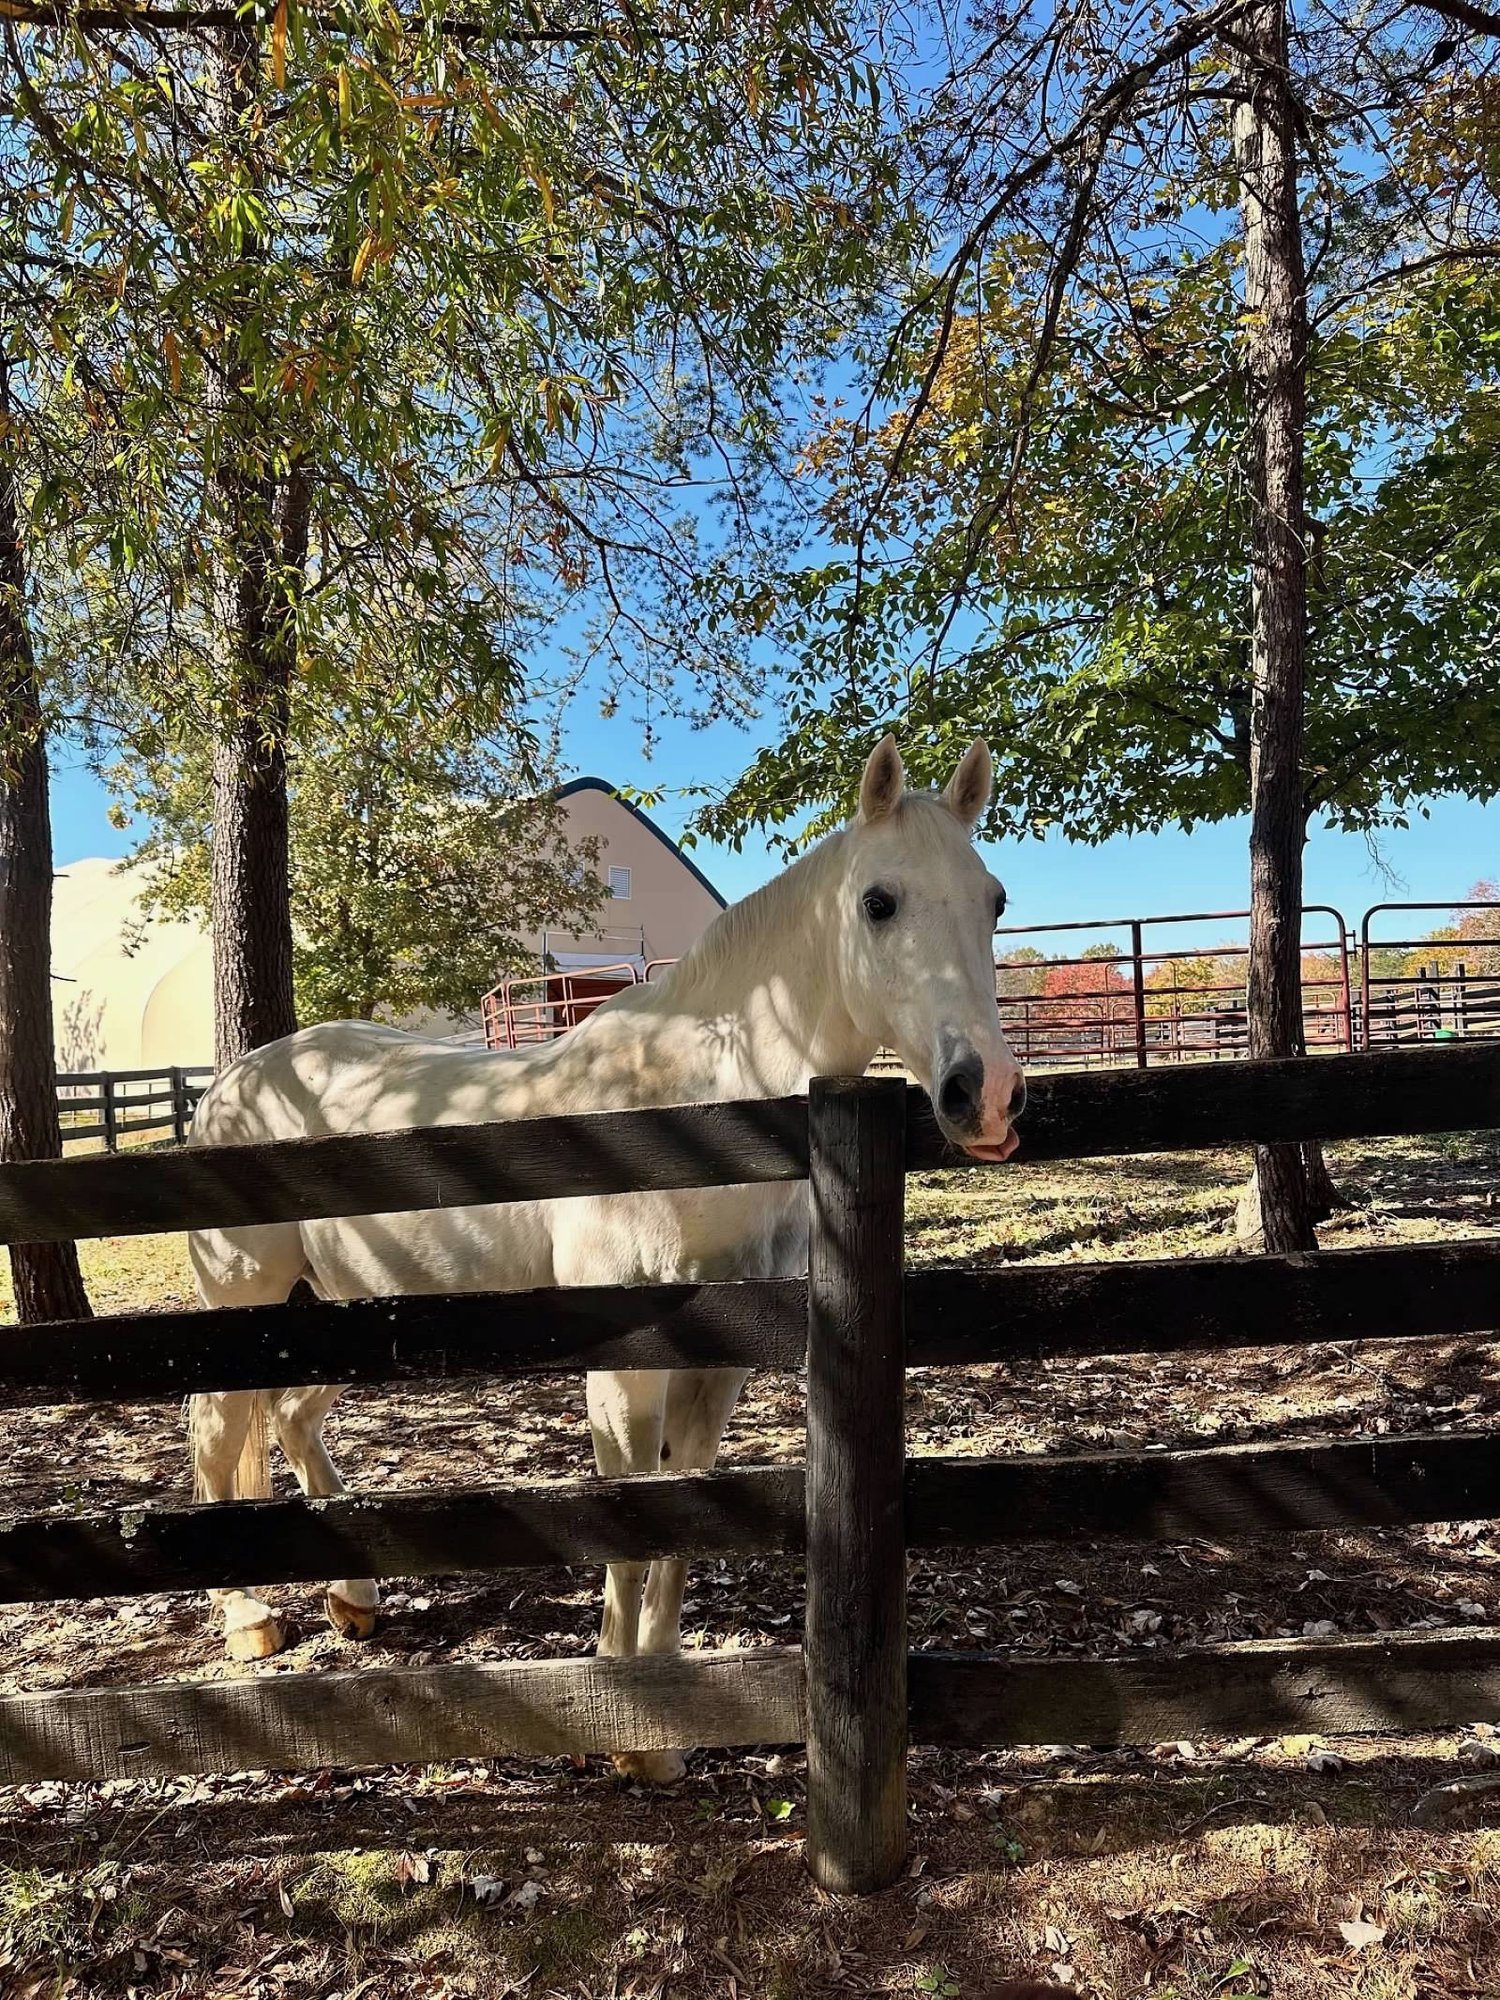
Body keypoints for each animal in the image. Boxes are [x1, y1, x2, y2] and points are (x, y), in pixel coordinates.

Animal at [186, 735, 1024, 1780]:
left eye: (994, 900)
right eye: (879, 901)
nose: (984, 1095)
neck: (692, 1115)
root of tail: (233, 1085)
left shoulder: (720, 1364)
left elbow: (685, 1515)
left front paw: (667, 1704)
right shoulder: (626, 1366)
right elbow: (636, 1515)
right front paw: (632, 1726)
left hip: (342, 1313)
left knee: (290, 1423)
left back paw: (355, 1602)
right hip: (246, 1307)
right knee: (217, 1441)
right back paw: (249, 1619)